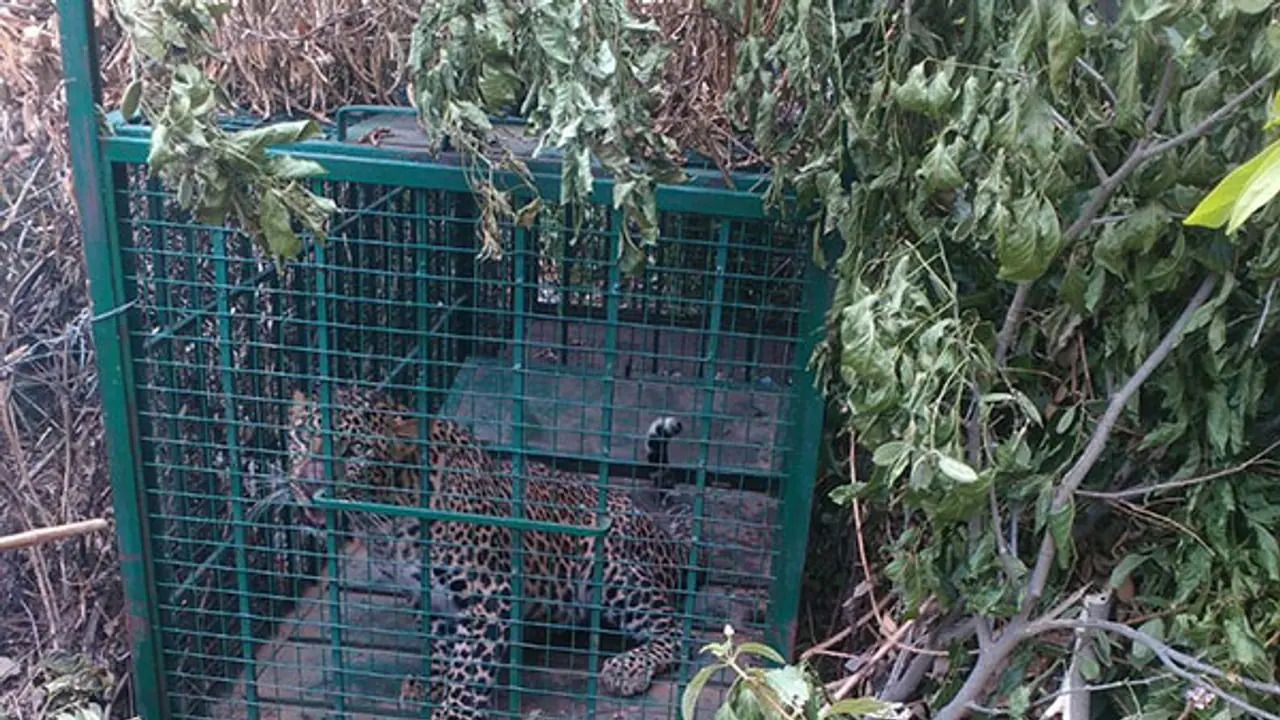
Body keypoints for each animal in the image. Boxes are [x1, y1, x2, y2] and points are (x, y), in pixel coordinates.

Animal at [285, 385, 697, 719]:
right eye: (303, 435)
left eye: (356, 450)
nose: (306, 484)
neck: (387, 517)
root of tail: (667, 539)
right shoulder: (425, 595)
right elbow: (440, 645)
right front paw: (431, 683)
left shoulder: (488, 595)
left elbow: (469, 669)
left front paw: (454, 711)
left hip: (608, 563)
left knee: (680, 630)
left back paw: (627, 668)